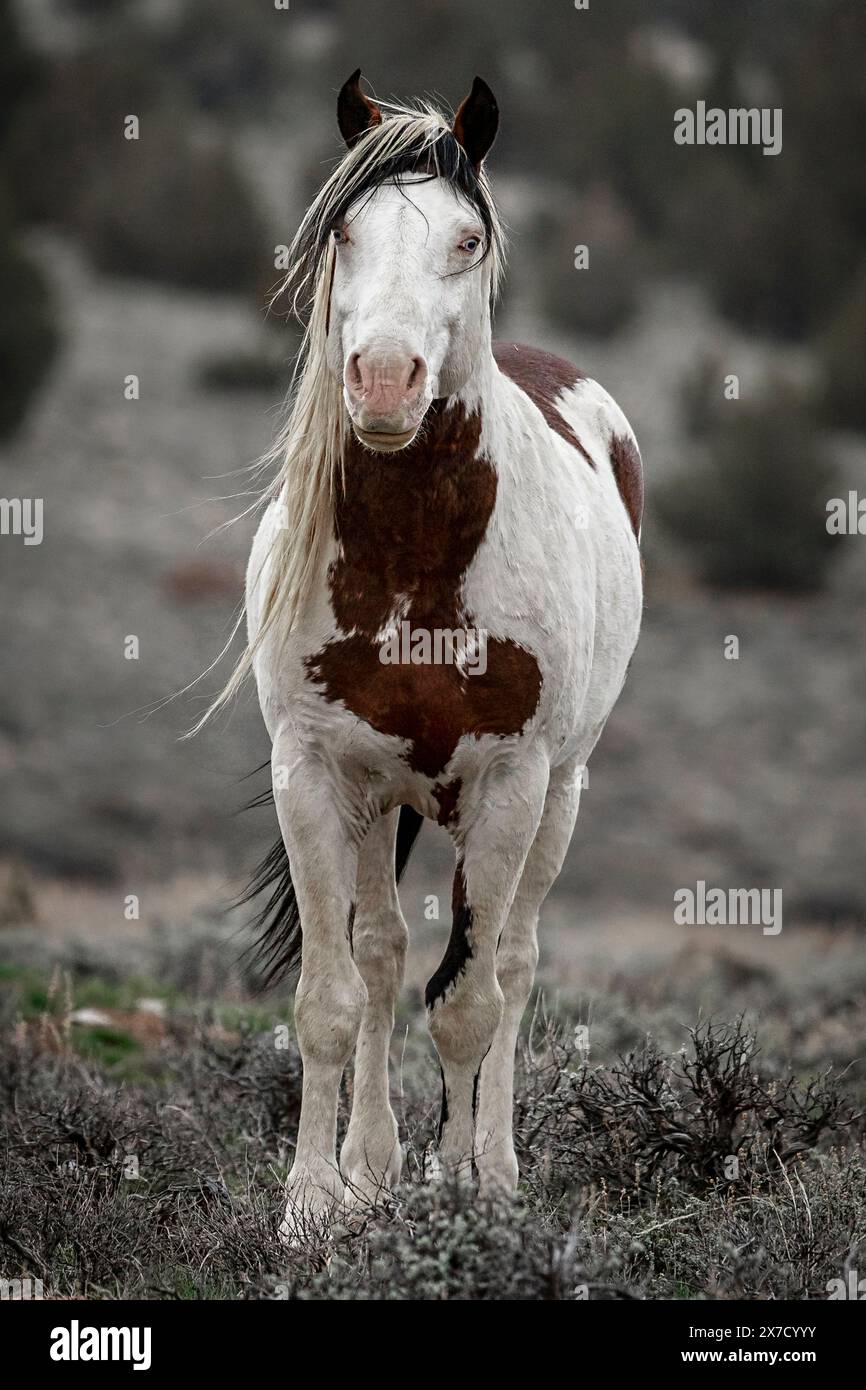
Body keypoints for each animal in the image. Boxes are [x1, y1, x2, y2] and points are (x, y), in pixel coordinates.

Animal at [211, 70, 644, 1239]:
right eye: (343, 232)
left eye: (465, 238)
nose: (384, 381)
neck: (413, 559)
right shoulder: (315, 773)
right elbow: (331, 996)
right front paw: (316, 1206)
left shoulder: (507, 783)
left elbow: (468, 1006)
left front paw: (466, 1196)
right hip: (385, 801)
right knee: (381, 958)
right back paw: (371, 1169)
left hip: (560, 795)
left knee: (510, 967)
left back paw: (492, 1165)